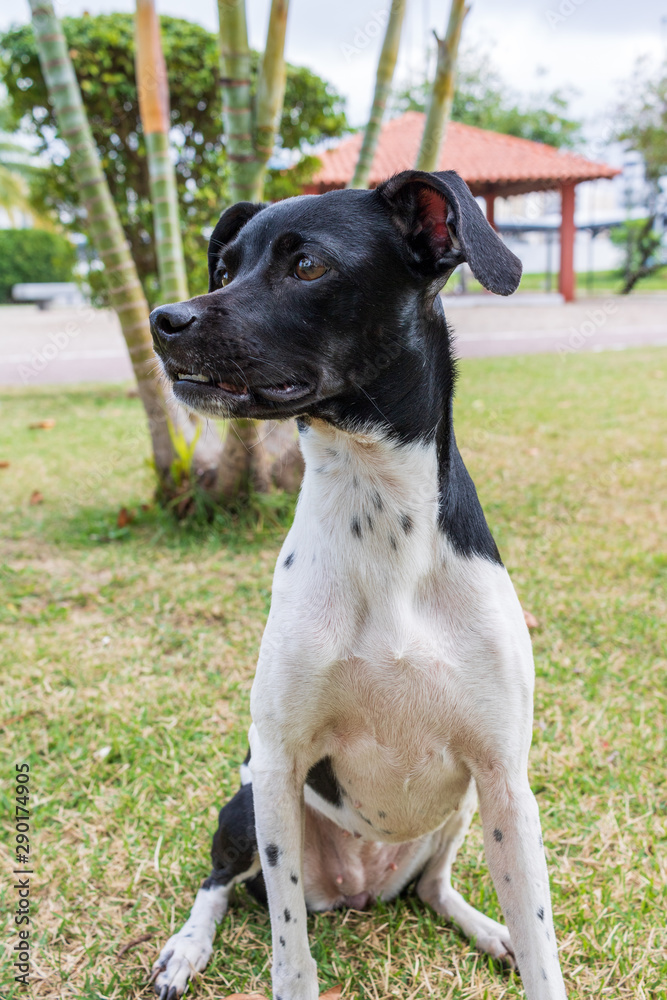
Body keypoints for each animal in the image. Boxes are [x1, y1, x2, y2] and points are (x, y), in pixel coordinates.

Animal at [149, 172, 568, 1000]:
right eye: (225, 268)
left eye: (307, 265)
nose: (163, 319)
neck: (379, 520)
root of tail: (359, 889)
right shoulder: (278, 761)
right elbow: (289, 953)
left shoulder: (505, 779)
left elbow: (542, 946)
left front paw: (520, 942)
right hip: (246, 802)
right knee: (217, 884)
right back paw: (185, 948)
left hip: (459, 813)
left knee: (433, 888)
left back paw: (487, 929)